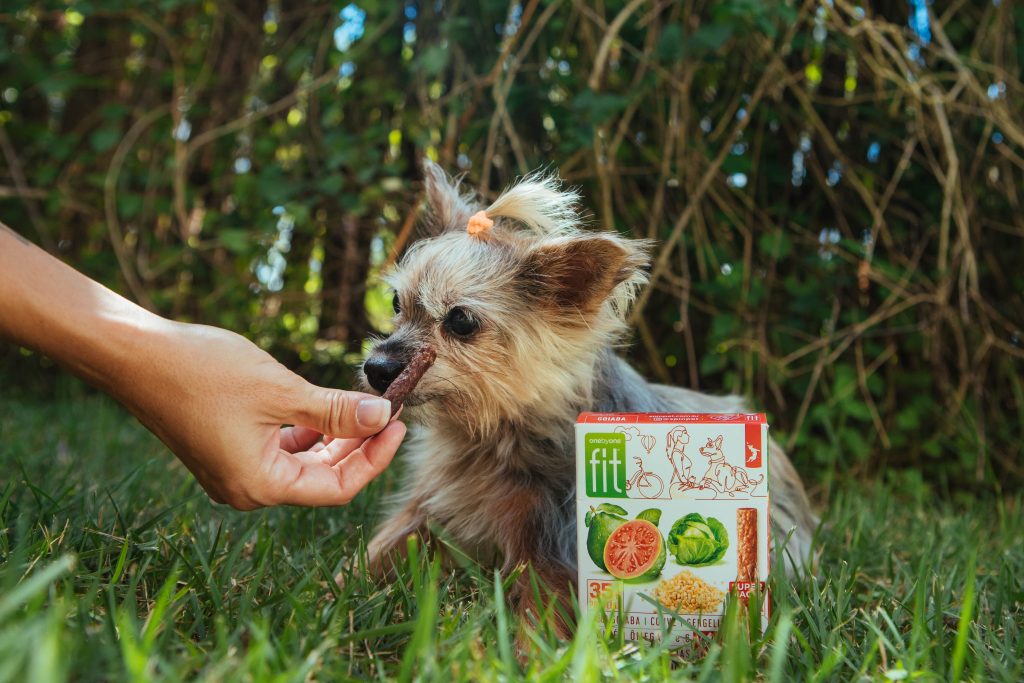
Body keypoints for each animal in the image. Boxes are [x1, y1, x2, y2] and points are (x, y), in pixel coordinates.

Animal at [360, 162, 815, 634]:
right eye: (396, 303)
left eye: (461, 321)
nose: (377, 368)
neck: (493, 434)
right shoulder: (424, 511)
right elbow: (374, 552)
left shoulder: (552, 548)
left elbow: (539, 617)